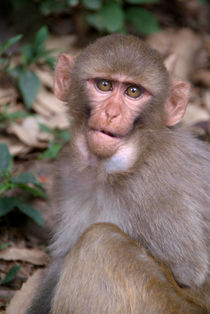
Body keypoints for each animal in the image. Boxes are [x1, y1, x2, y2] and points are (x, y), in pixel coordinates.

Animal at [28, 35, 210, 314]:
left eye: (133, 92)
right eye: (104, 85)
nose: (111, 114)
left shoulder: (154, 189)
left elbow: (188, 272)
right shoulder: (69, 169)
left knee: (101, 240)